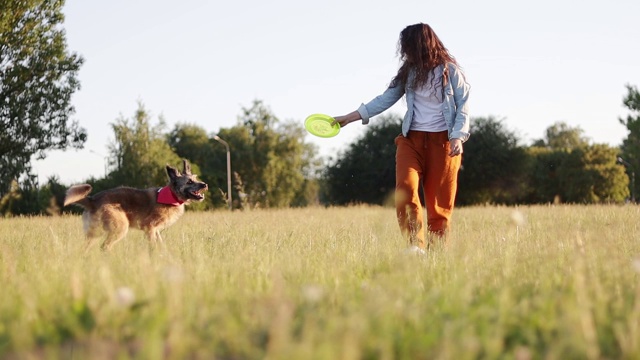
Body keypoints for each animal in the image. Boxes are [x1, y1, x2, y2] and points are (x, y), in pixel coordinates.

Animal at [63, 159, 208, 252]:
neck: (172, 195)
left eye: (195, 179)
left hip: (94, 234)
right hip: (120, 227)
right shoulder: (150, 228)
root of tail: (92, 199)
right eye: (189, 182)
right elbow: (153, 246)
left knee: (86, 248)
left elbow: (161, 244)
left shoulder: (156, 230)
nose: (204, 184)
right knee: (105, 247)